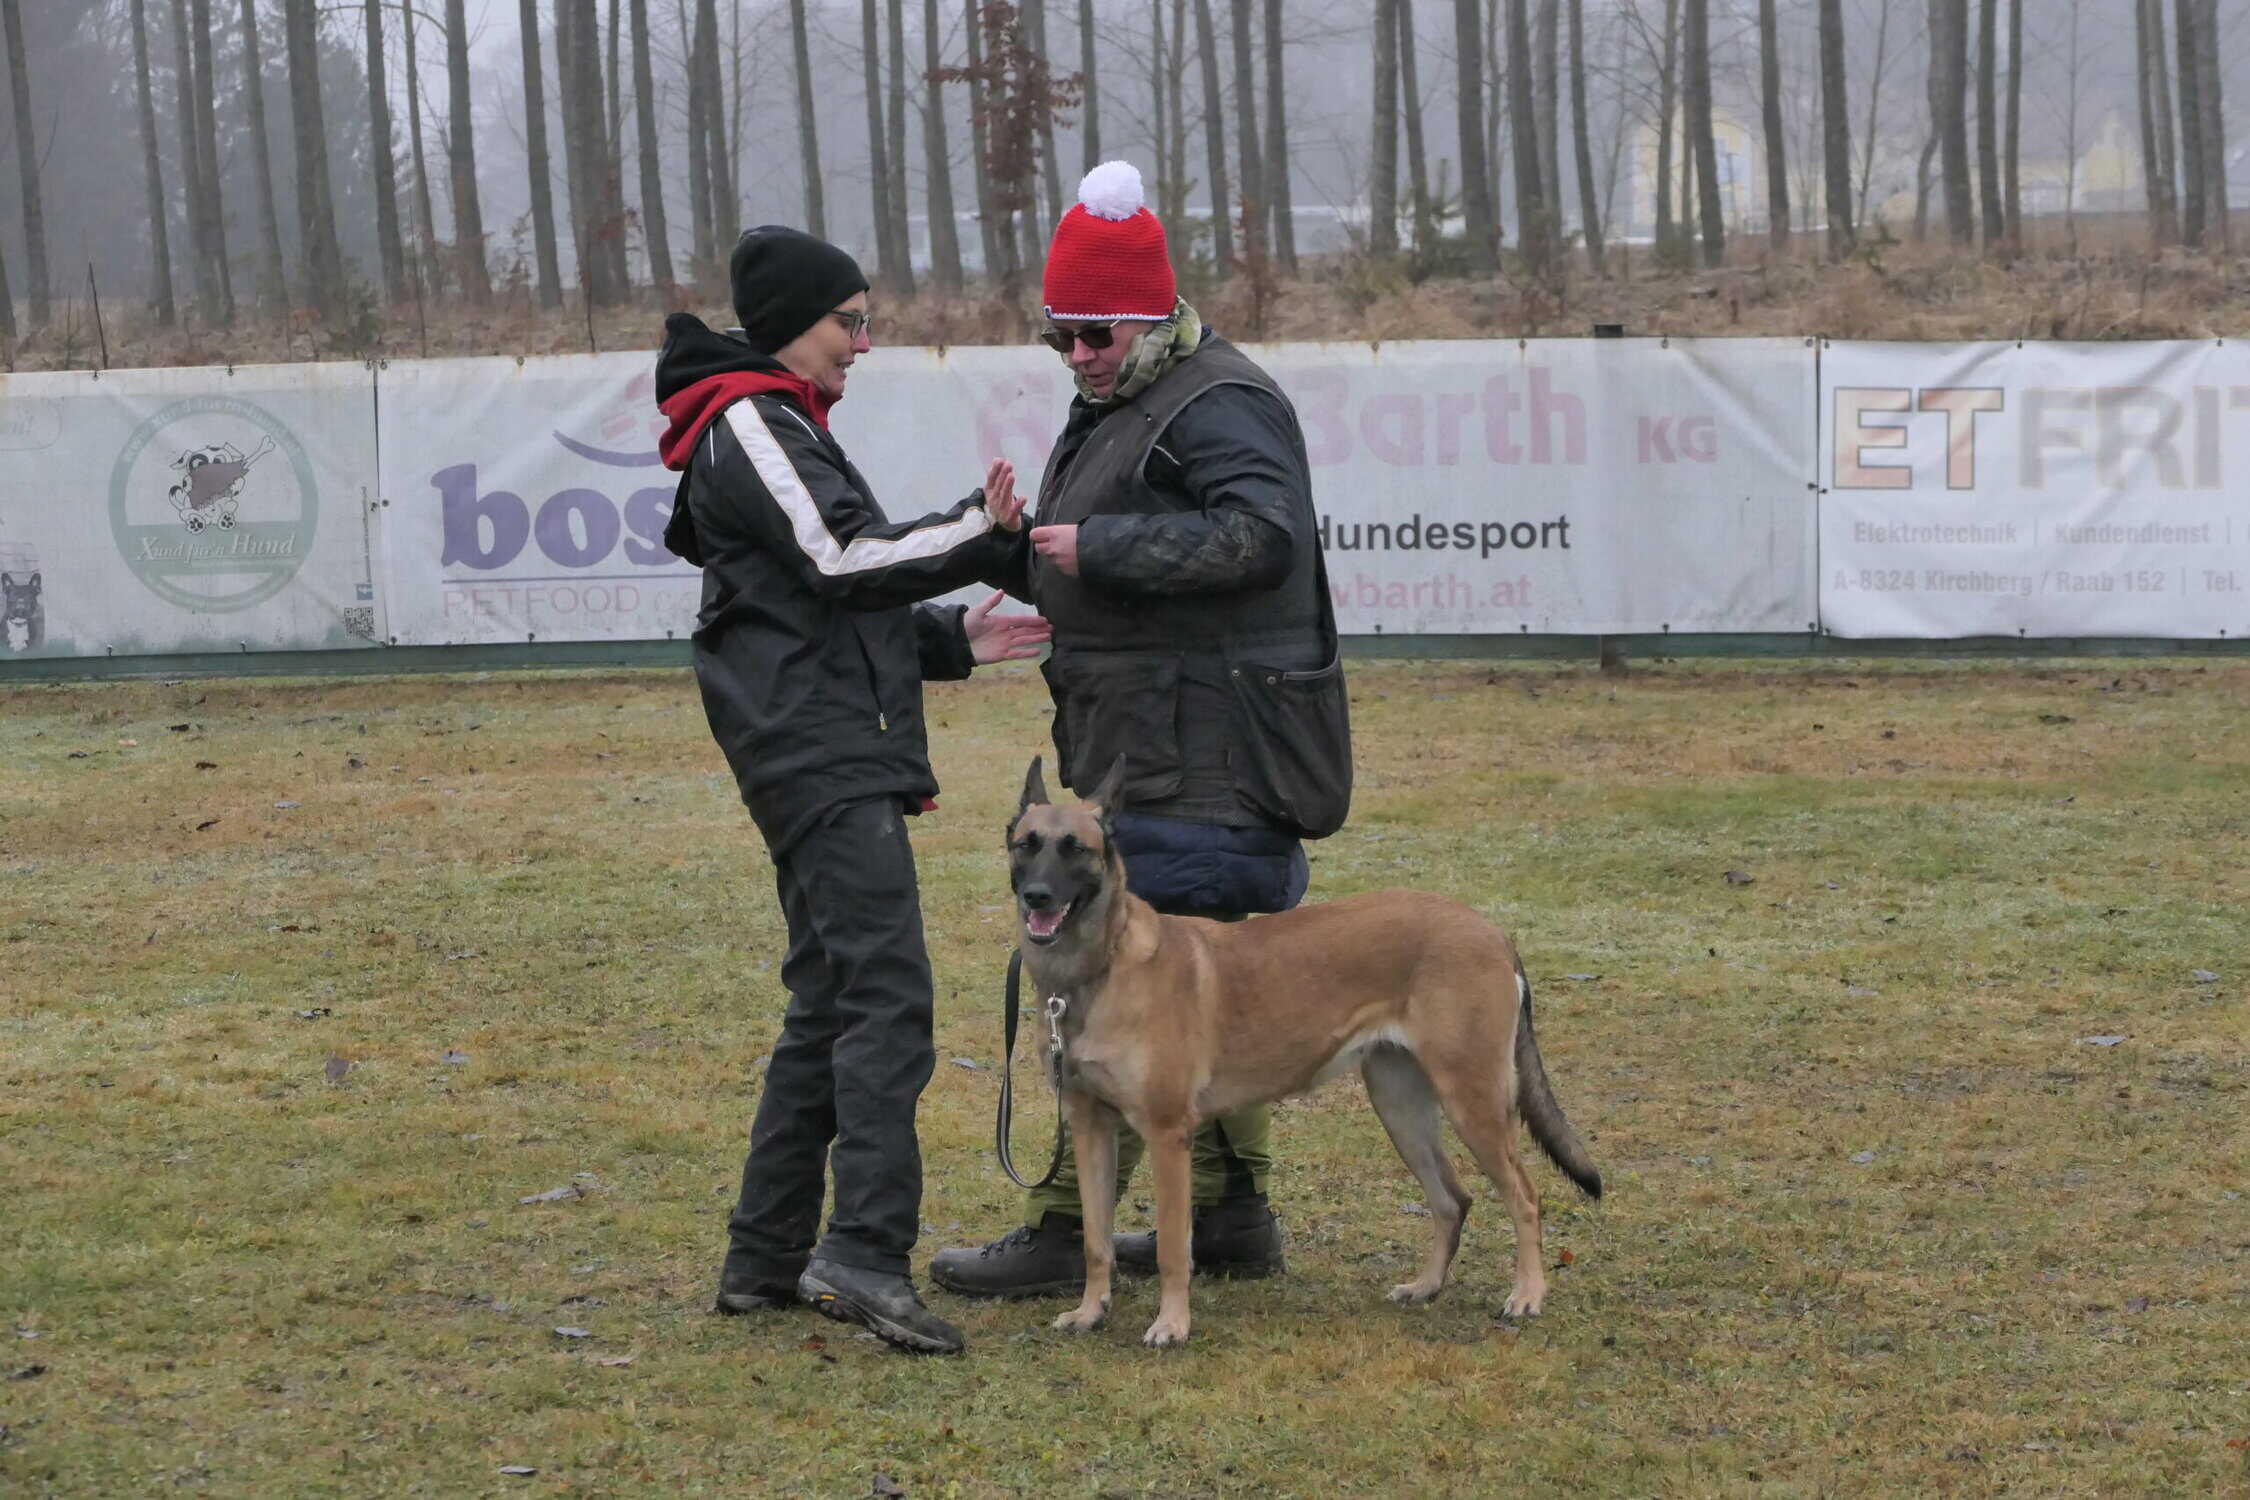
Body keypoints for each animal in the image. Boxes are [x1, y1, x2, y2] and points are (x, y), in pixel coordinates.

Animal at [1007, 756, 1602, 1347]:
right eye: (1025, 844)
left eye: (1075, 849)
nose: (1036, 896)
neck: (1095, 970)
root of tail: (1493, 932)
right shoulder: (1090, 1128)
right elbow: (1095, 1239)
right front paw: (1090, 1310)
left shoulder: (1167, 1133)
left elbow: (1174, 1248)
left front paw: (1171, 1323)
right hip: (1402, 1108)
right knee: (1452, 1200)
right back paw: (1426, 1286)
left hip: (1472, 1102)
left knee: (1524, 1196)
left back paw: (1527, 1294)